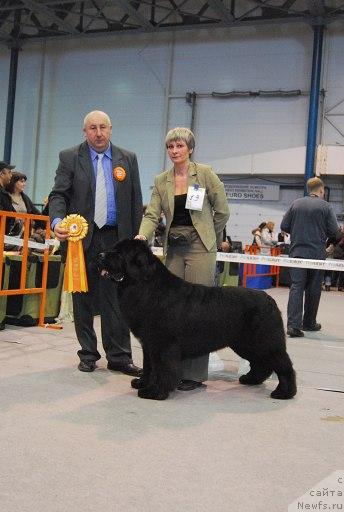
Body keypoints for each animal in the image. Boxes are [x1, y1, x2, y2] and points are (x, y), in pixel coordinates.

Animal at [98, 238, 296, 402]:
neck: (147, 286)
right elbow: (149, 367)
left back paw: (284, 393)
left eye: (119, 253)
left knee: (283, 365)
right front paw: (142, 383)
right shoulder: (148, 345)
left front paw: (155, 392)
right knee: (261, 363)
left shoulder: (162, 345)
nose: (99, 255)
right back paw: (251, 379)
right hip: (245, 343)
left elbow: (162, 368)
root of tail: (269, 299)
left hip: (264, 341)